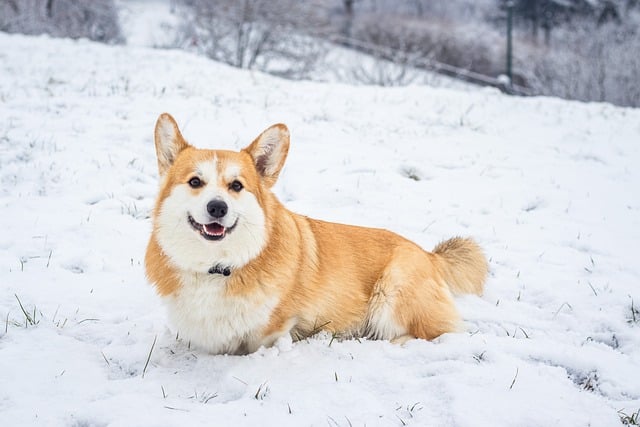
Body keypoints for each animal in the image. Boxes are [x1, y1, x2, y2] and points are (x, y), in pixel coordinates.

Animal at [144, 113, 484, 354]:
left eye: (236, 186)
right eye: (195, 182)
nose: (217, 208)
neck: (218, 266)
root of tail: (429, 254)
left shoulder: (274, 329)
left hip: (394, 291)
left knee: (440, 333)